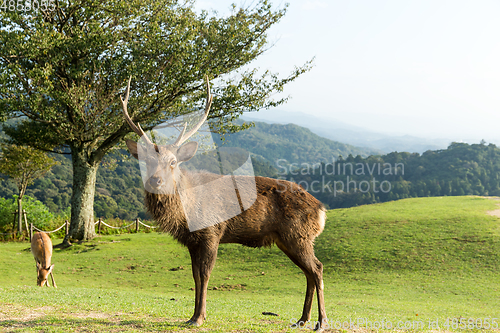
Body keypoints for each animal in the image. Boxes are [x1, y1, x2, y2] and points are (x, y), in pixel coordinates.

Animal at [121, 76, 328, 328]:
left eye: (173, 162)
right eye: (148, 160)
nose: (155, 180)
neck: (186, 212)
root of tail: (321, 209)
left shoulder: (212, 232)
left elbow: (204, 274)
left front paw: (199, 317)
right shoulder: (192, 241)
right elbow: (194, 275)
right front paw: (192, 316)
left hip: (298, 234)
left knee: (317, 269)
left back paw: (321, 321)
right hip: (288, 239)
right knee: (309, 272)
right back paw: (302, 319)